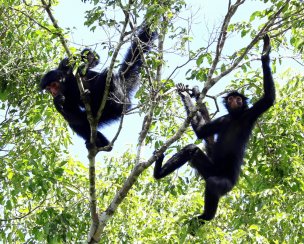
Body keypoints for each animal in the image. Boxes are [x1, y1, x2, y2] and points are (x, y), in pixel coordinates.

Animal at [154, 34, 276, 225]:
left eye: (239, 99)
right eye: (232, 99)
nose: (235, 101)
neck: (235, 117)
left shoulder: (250, 114)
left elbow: (269, 98)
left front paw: (265, 52)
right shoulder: (224, 119)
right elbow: (202, 132)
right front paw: (188, 93)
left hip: (226, 183)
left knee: (212, 183)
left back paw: (205, 217)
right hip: (209, 169)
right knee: (192, 150)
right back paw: (158, 173)